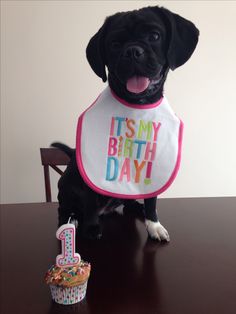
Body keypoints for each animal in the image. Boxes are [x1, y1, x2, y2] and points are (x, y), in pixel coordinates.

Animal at [52, 5, 199, 240]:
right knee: (65, 208)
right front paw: (90, 228)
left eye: (154, 36)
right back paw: (70, 221)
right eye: (114, 44)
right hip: (66, 186)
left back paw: (136, 208)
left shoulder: (151, 167)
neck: (136, 104)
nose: (132, 51)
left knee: (129, 204)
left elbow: (152, 200)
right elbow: (90, 199)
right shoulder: (91, 171)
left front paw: (154, 224)